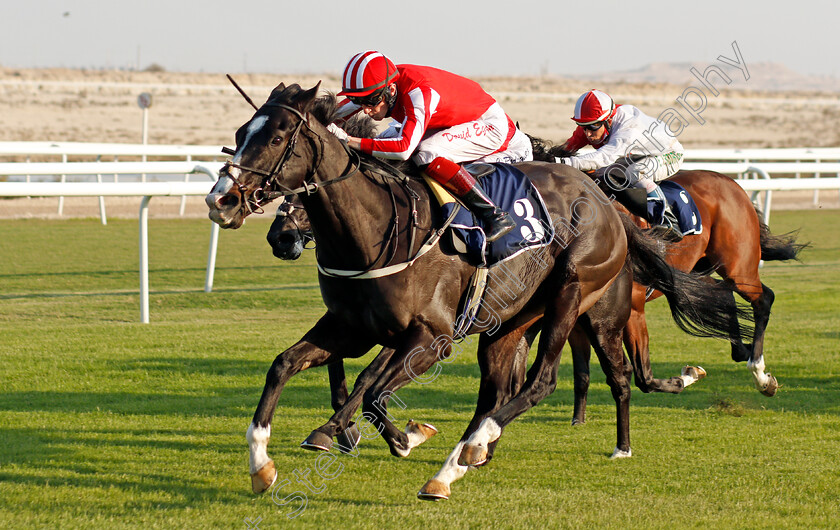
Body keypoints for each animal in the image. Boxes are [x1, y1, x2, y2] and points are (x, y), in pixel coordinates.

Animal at [207, 83, 752, 500]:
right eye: (239, 134)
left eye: (279, 137)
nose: (221, 201)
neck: (379, 228)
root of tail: (604, 199)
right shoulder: (351, 327)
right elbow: (287, 367)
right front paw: (263, 466)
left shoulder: (431, 338)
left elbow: (370, 390)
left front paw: (391, 436)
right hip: (509, 324)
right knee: (499, 391)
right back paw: (467, 456)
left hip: (577, 295)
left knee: (545, 381)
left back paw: (468, 456)